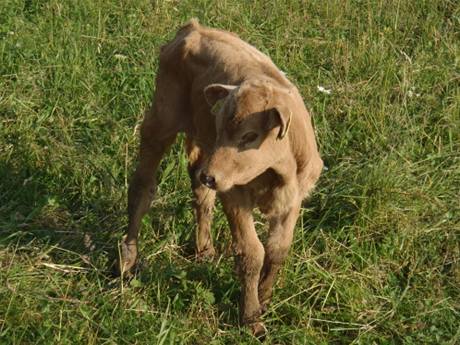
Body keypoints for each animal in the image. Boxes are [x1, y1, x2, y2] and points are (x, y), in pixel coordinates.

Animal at [116, 19, 324, 336]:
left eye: (249, 136)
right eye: (220, 125)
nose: (211, 176)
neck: (279, 174)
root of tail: (193, 29)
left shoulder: (293, 199)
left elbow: (278, 250)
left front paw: (264, 299)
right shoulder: (235, 195)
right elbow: (252, 252)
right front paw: (251, 318)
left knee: (200, 192)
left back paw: (204, 250)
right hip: (160, 121)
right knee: (143, 186)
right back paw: (128, 260)